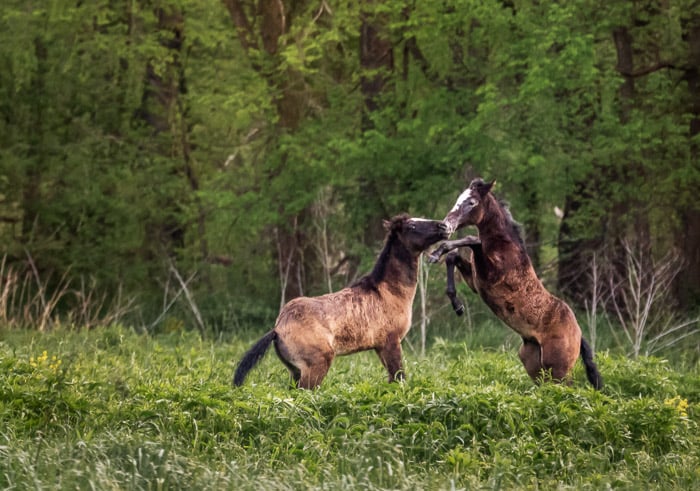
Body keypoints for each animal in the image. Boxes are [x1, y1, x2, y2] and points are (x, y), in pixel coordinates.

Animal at [233, 214, 449, 389]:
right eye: (412, 226)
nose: (444, 226)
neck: (389, 292)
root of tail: (277, 329)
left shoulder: (379, 346)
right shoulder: (391, 342)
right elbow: (399, 378)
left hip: (295, 371)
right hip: (318, 364)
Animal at [429, 178, 603, 389]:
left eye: (471, 202)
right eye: (458, 199)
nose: (445, 225)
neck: (505, 247)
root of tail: (579, 334)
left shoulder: (491, 275)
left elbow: (472, 240)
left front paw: (436, 253)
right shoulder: (476, 282)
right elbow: (453, 256)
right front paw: (457, 305)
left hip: (559, 369)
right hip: (534, 363)